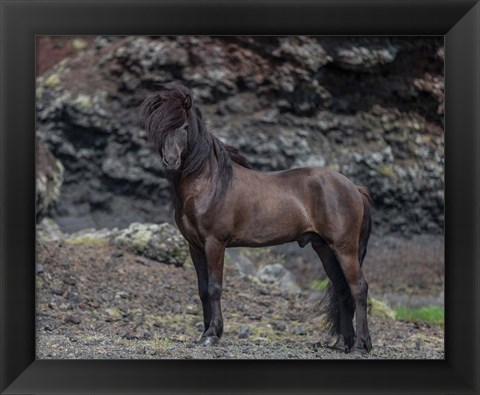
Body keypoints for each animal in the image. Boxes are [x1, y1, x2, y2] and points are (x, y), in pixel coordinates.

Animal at [141, 85, 374, 354]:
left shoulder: (214, 243)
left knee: (359, 288)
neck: (209, 184)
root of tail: (354, 187)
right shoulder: (195, 247)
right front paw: (205, 332)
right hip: (324, 248)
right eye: (160, 127)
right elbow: (202, 290)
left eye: (185, 127)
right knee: (343, 290)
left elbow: (214, 288)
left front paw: (212, 335)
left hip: (344, 248)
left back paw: (360, 345)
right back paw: (345, 343)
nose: (171, 161)